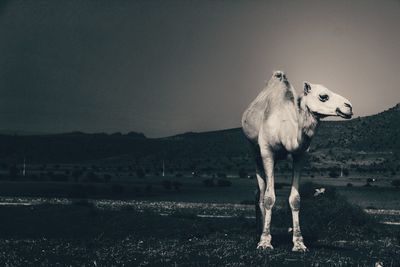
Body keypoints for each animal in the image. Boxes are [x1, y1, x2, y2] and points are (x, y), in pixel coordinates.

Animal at [241, 70, 354, 251]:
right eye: (323, 96)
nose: (349, 106)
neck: (285, 130)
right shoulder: (267, 151)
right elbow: (269, 198)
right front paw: (265, 242)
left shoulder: (300, 155)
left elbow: (295, 199)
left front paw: (299, 243)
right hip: (254, 151)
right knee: (261, 191)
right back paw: (260, 231)